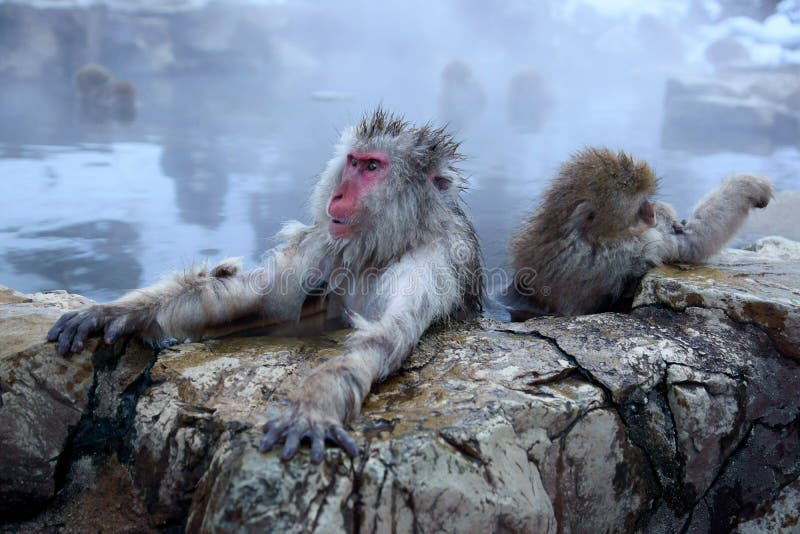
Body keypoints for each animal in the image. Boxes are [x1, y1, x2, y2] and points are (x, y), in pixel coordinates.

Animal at [47, 108, 484, 462]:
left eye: (373, 167)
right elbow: (261, 299)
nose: (339, 193)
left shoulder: (434, 263)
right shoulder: (324, 242)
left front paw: (313, 406)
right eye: (353, 162)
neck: (388, 244)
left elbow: (385, 336)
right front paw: (115, 312)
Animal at [505, 147, 772, 317]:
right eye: (640, 206)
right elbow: (692, 243)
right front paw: (750, 185)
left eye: (647, 200)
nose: (651, 212)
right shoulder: (637, 247)